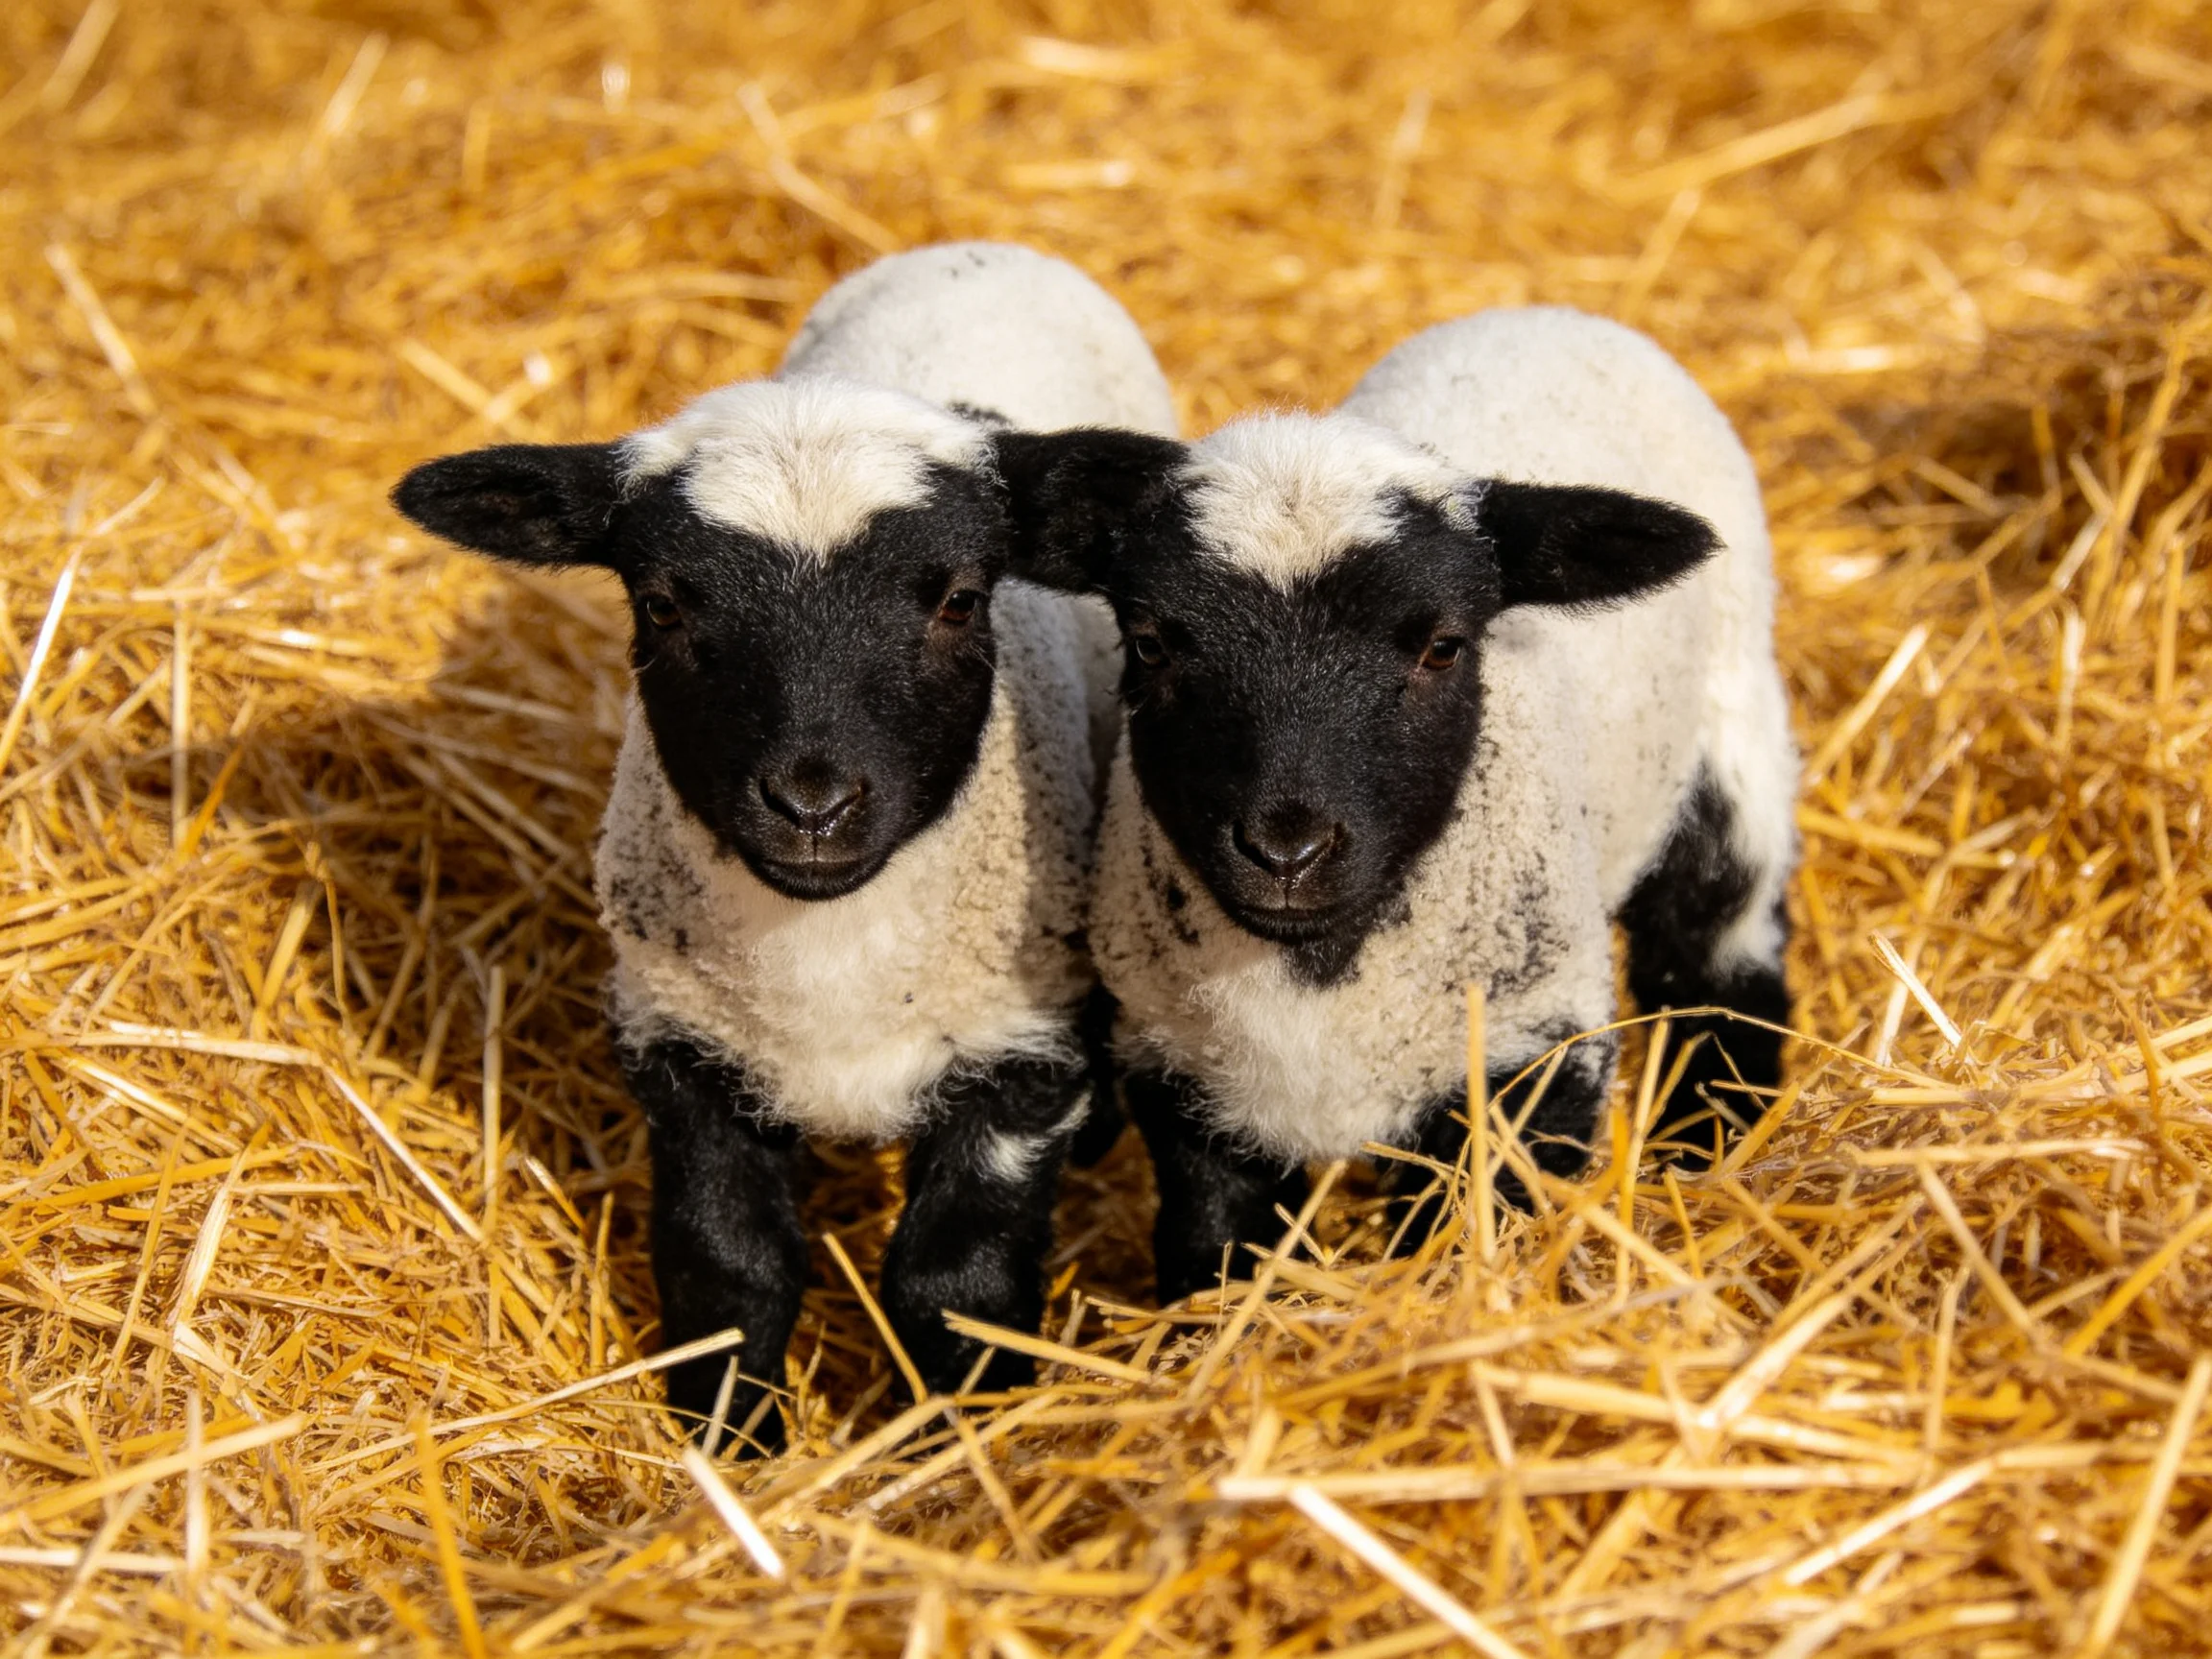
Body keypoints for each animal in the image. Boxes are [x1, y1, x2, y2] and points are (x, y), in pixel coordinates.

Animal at [392, 242, 1177, 1447]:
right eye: (663, 604)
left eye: (959, 600)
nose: (812, 803)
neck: (832, 963)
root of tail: (972, 251)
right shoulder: (686, 1050)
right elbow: (728, 1270)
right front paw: (735, 1449)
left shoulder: (1020, 1054)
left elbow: (955, 1283)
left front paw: (952, 1447)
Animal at [991, 306, 1797, 1301]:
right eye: (1148, 642)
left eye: (1443, 647)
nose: (1286, 851)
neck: (1317, 972)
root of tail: (1550, 314)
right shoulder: (1185, 1076)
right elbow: (1213, 1243)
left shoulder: (1532, 1050)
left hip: (1734, 724)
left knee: (1719, 951)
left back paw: (1720, 1143)